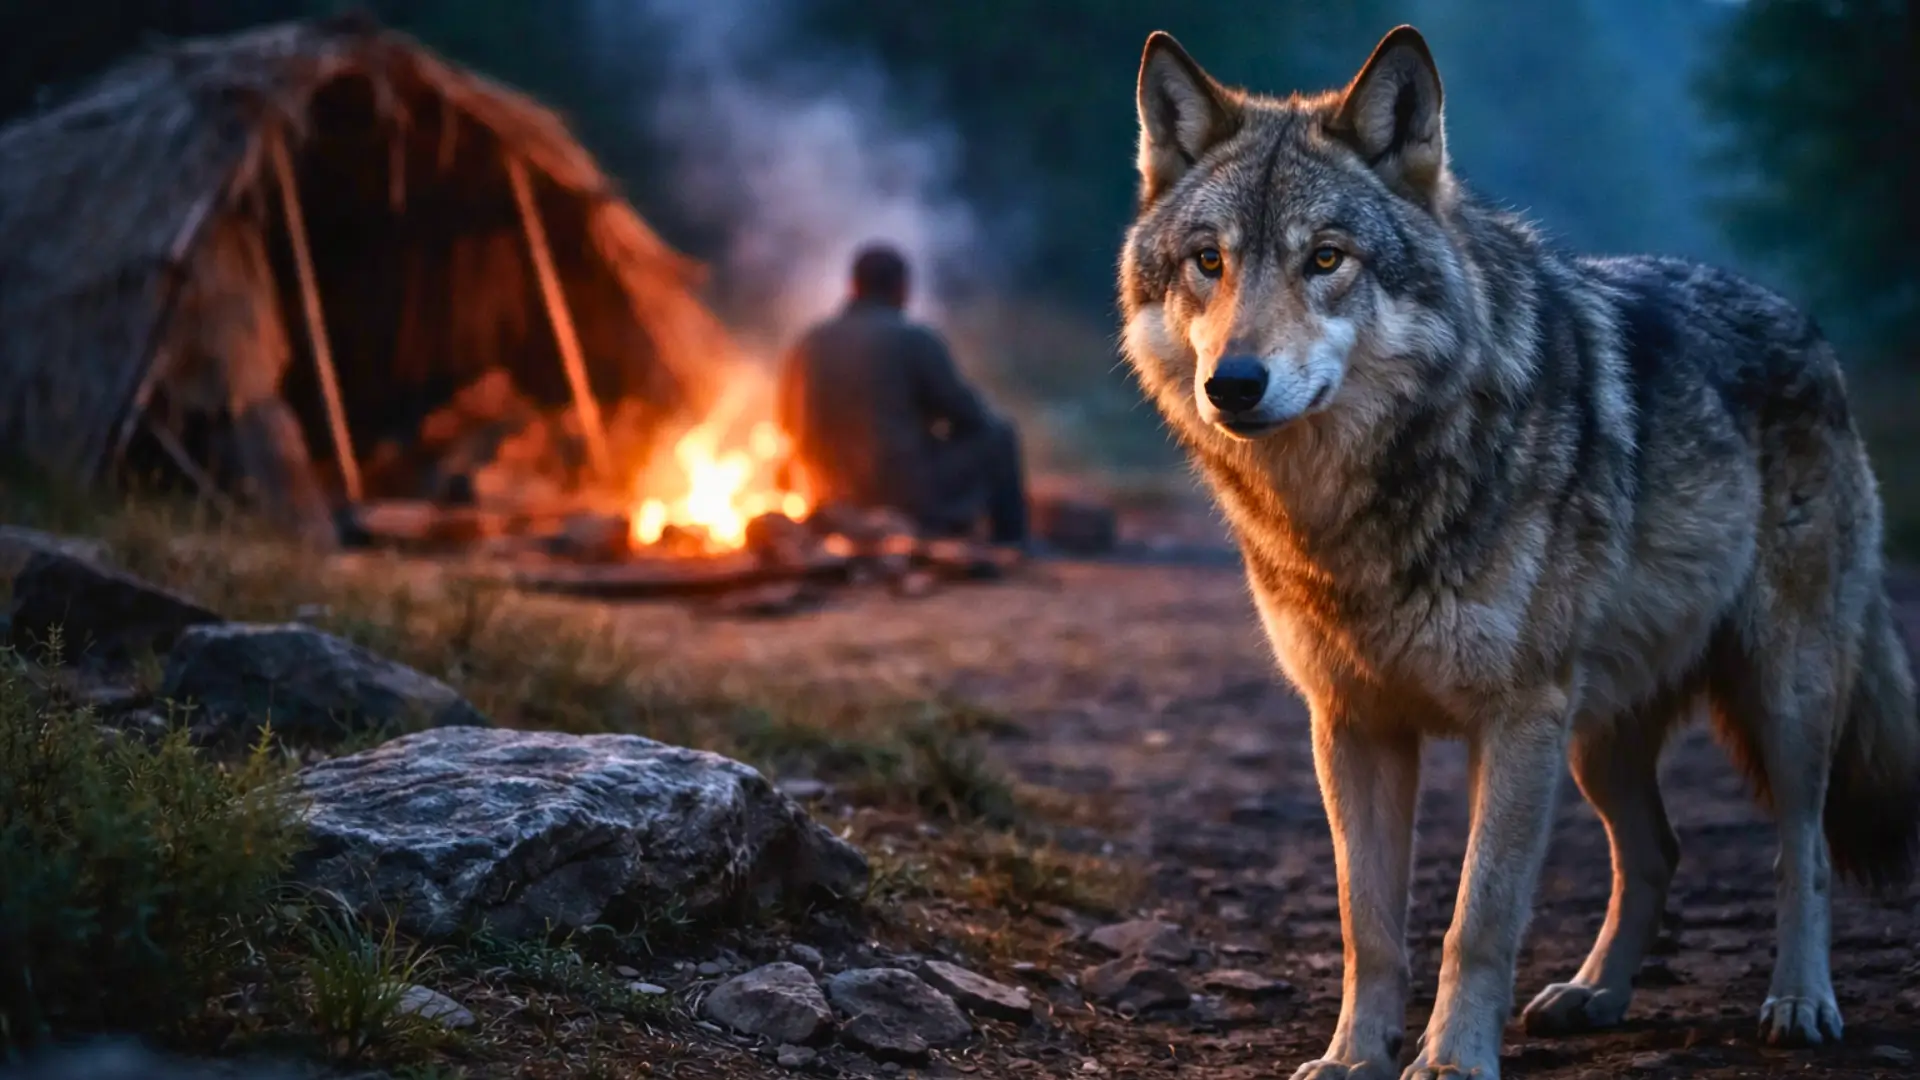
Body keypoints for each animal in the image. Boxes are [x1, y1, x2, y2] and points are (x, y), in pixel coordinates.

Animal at [1118, 24, 1920, 1080]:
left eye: (1327, 258)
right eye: (1209, 261)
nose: (1234, 384)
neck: (1362, 512)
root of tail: (1807, 326)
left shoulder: (1516, 719)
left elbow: (1479, 916)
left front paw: (1452, 1059)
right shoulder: (1351, 724)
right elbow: (1367, 922)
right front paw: (1353, 1056)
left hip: (1776, 699)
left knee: (1806, 848)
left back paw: (1799, 1001)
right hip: (1597, 739)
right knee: (1657, 850)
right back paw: (1594, 995)